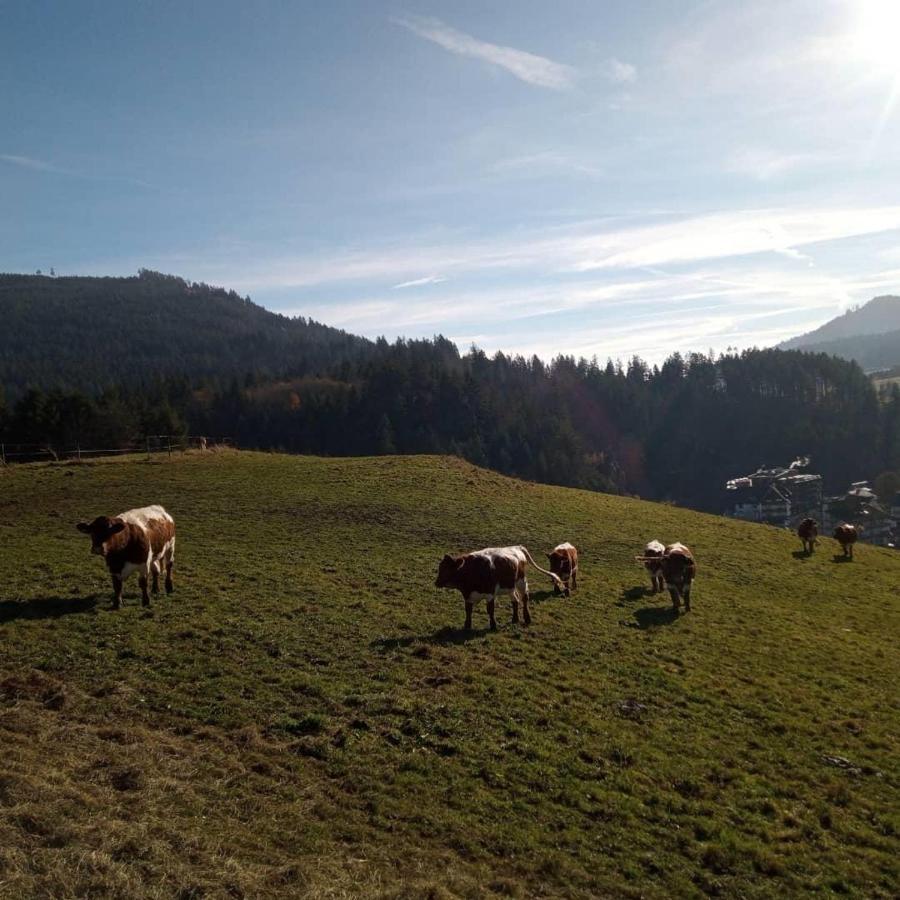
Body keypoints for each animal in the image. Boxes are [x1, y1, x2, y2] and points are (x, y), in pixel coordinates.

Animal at [436, 544, 564, 628]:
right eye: (440, 568)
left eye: (448, 569)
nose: (436, 583)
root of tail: (517, 547)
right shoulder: (468, 596)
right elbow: (468, 610)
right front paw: (467, 626)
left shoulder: (490, 594)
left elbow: (490, 610)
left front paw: (493, 625)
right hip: (510, 587)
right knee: (515, 600)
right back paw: (514, 619)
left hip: (521, 581)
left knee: (524, 598)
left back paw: (527, 619)